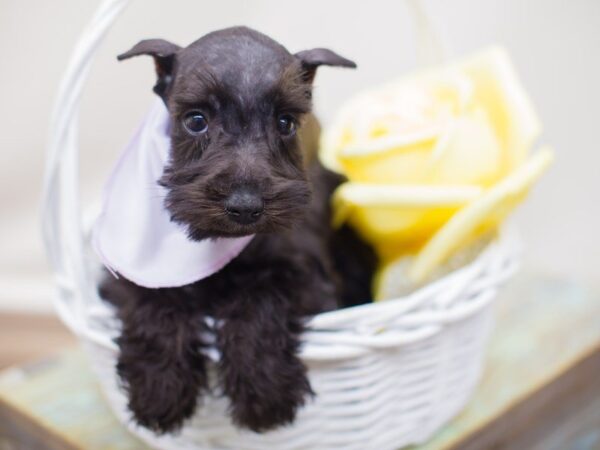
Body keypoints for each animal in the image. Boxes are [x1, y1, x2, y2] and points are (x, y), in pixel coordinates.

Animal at [101, 26, 378, 434]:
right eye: (195, 120)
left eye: (286, 122)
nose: (245, 207)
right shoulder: (131, 274)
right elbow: (153, 305)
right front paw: (159, 390)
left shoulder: (306, 275)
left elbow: (260, 303)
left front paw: (264, 395)